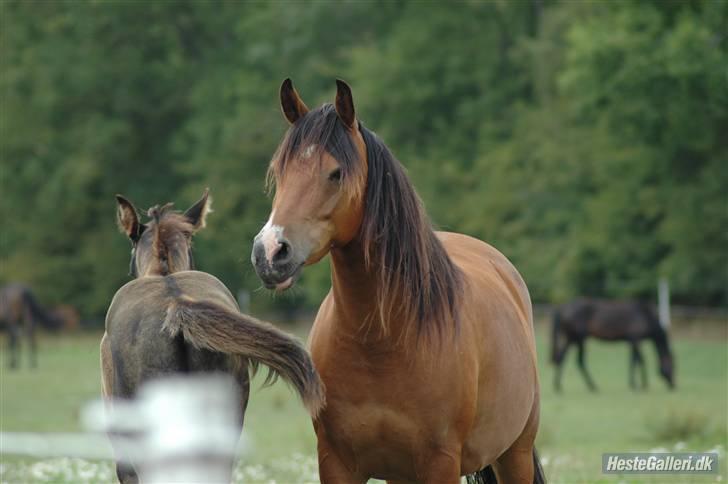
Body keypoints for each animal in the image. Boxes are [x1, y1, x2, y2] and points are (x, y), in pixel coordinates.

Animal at [253, 80, 544, 484]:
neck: (381, 340)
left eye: (336, 173)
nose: (269, 252)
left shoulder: (440, 463)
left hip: (514, 454)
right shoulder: (336, 463)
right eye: (280, 172)